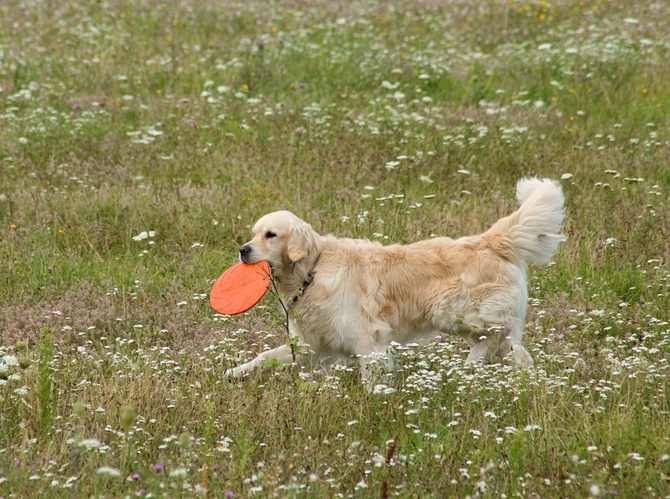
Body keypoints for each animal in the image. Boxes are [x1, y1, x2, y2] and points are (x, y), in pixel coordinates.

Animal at [227, 178, 568, 380]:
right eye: (253, 234)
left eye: (271, 235)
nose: (243, 250)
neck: (312, 270)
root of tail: (488, 239)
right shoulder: (311, 345)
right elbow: (265, 356)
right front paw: (235, 371)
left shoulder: (369, 339)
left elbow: (371, 376)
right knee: (504, 345)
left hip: (452, 310)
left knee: (505, 338)